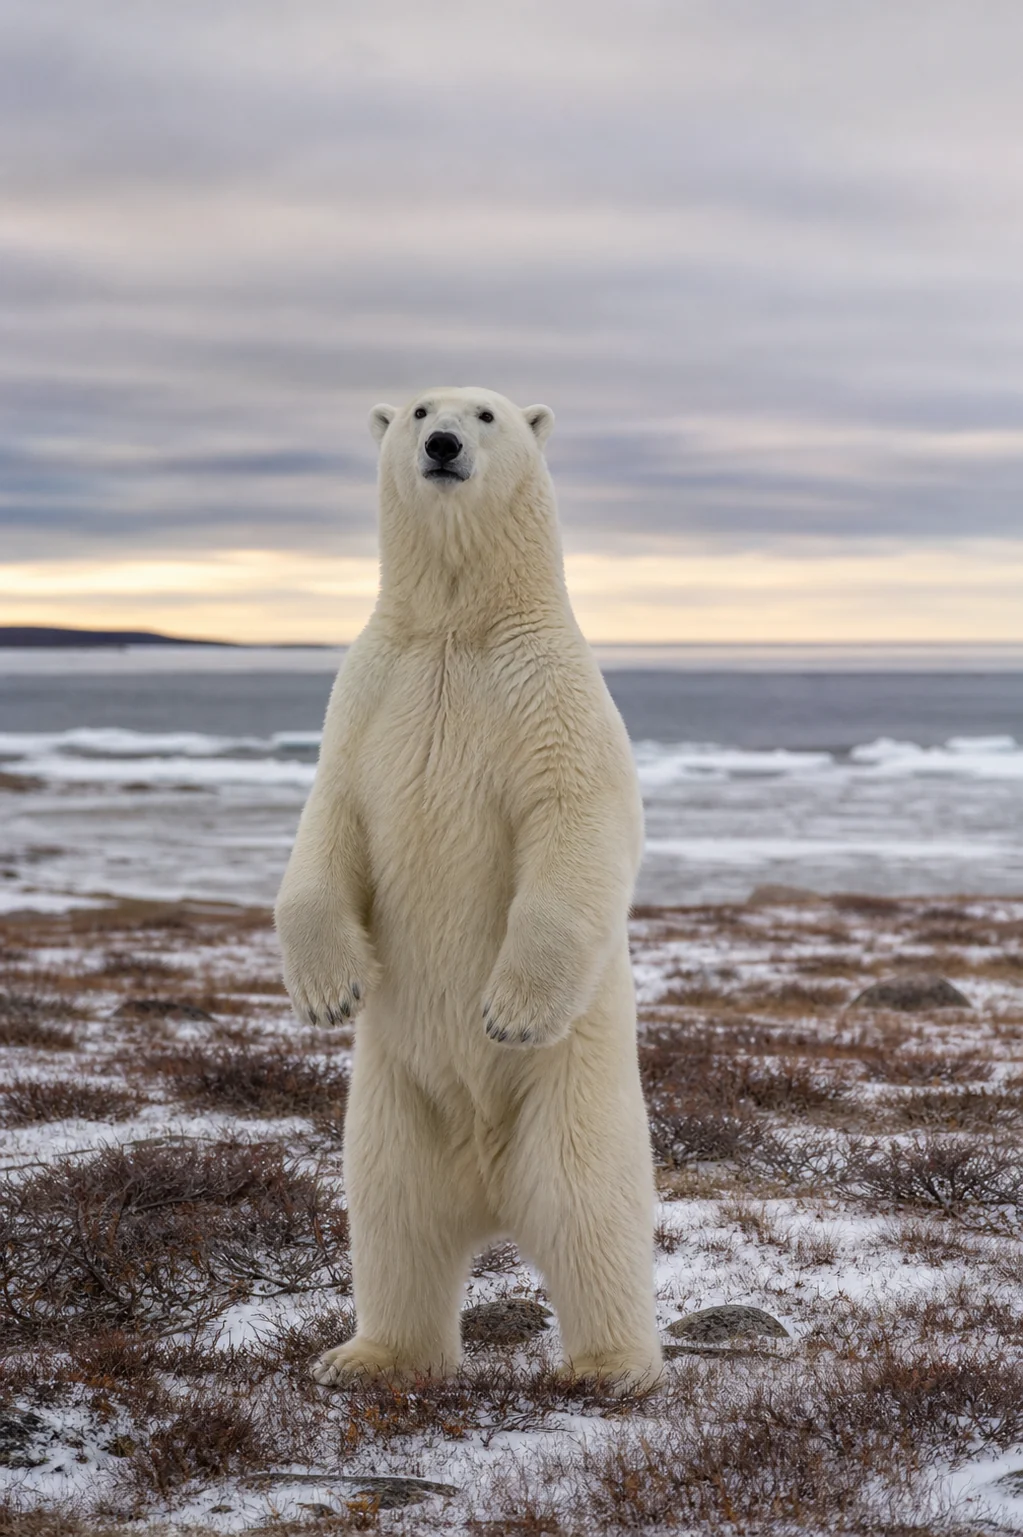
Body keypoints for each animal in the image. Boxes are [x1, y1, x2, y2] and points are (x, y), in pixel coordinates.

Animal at [274, 387, 662, 1392]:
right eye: (418, 409)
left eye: (486, 413)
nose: (444, 443)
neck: (456, 628)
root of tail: (486, 1189)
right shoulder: (368, 694)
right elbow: (328, 822)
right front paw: (328, 992)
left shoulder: (550, 696)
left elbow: (574, 822)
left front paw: (507, 1009)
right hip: (391, 1096)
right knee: (391, 1215)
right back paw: (367, 1355)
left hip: (571, 1086)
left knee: (588, 1205)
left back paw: (609, 1364)